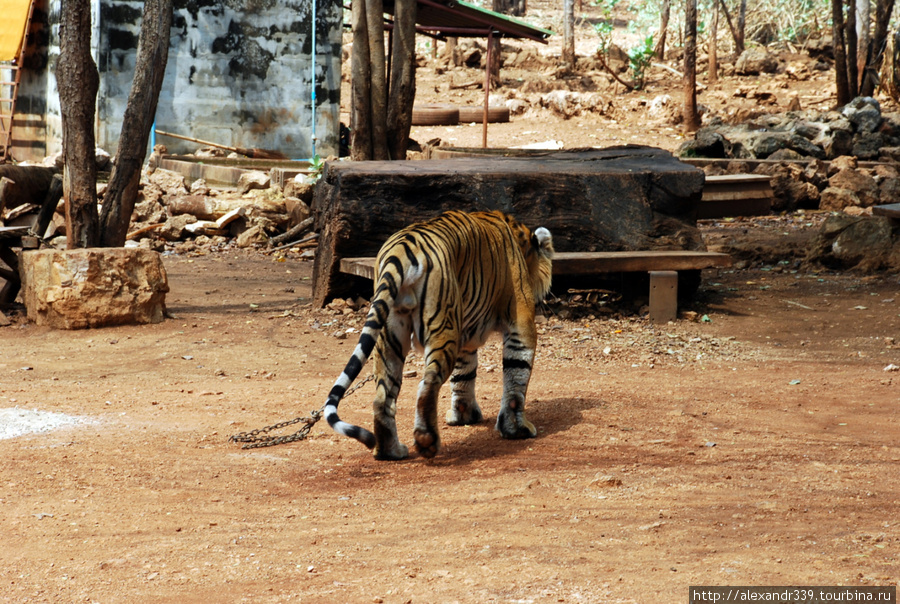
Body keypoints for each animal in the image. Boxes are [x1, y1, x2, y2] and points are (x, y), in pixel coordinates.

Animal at [230, 210, 556, 460]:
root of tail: (400, 250)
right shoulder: (519, 321)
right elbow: (516, 377)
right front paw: (516, 429)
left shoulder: (466, 332)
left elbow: (464, 376)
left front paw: (463, 416)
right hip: (441, 325)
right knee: (427, 385)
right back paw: (426, 441)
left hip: (389, 335)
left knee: (382, 396)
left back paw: (390, 450)